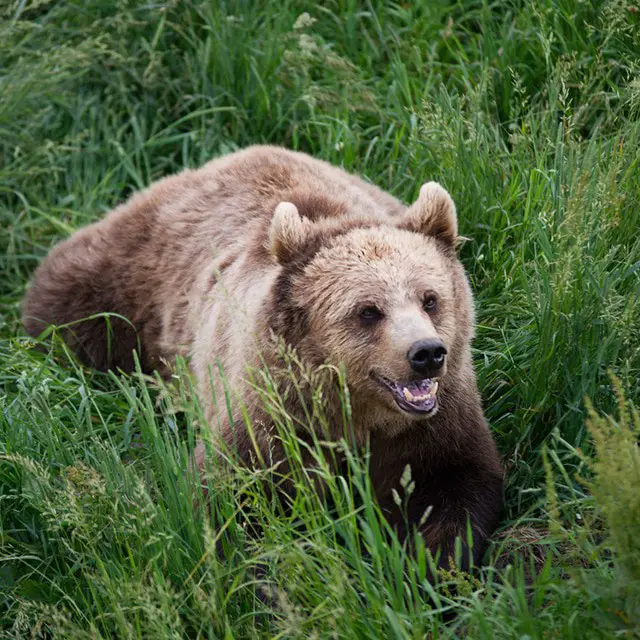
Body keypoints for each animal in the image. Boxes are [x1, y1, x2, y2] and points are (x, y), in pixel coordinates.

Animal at [21, 145, 504, 568]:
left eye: (430, 299)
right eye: (368, 311)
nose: (426, 353)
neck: (353, 412)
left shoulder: (434, 425)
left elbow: (454, 491)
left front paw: (426, 567)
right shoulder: (269, 418)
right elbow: (233, 504)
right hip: (124, 283)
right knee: (67, 303)